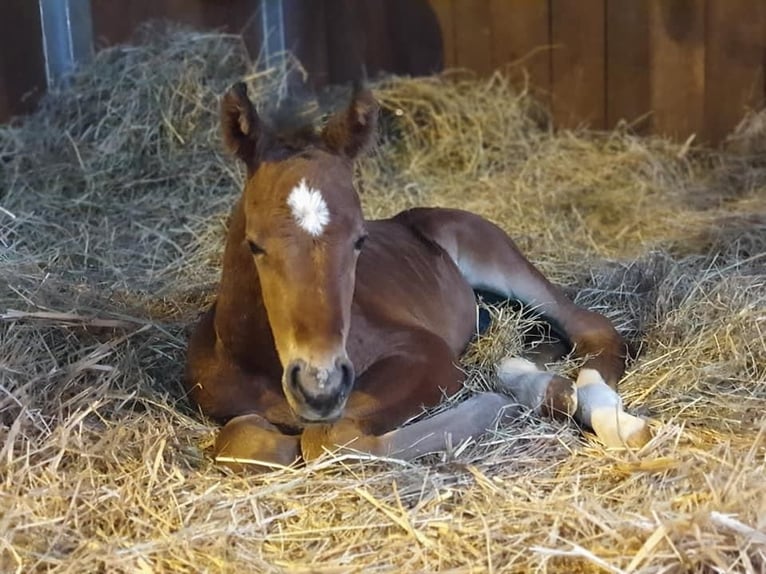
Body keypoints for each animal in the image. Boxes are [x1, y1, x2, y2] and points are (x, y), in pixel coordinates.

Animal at [186, 84, 656, 472]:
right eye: (255, 244)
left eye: (360, 240)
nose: (321, 388)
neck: (256, 360)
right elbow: (242, 440)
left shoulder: (426, 356)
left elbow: (328, 438)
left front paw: (493, 406)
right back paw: (544, 387)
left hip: (501, 262)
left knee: (589, 327)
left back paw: (615, 421)